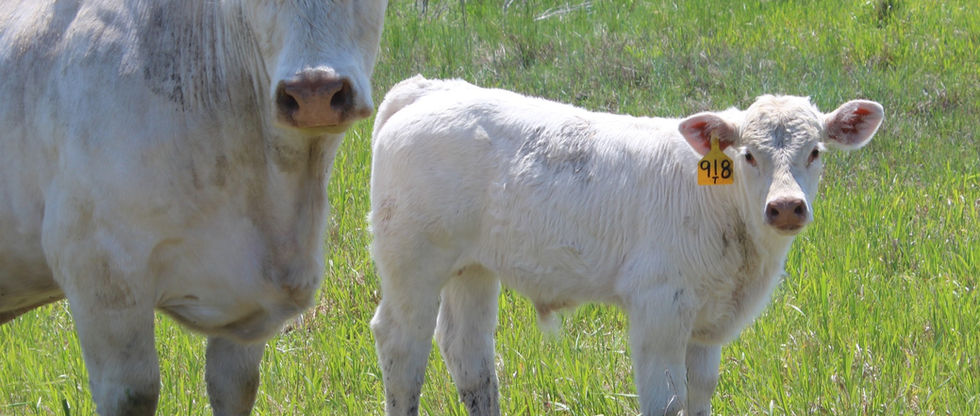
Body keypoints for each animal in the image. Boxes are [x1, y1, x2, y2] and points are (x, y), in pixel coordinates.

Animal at [368, 76, 883, 416]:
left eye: (815, 152)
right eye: (748, 155)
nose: (786, 206)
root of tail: (430, 89)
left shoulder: (706, 328)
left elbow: (699, 396)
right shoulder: (659, 310)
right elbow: (666, 401)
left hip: (471, 268)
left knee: (468, 353)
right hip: (411, 263)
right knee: (402, 346)